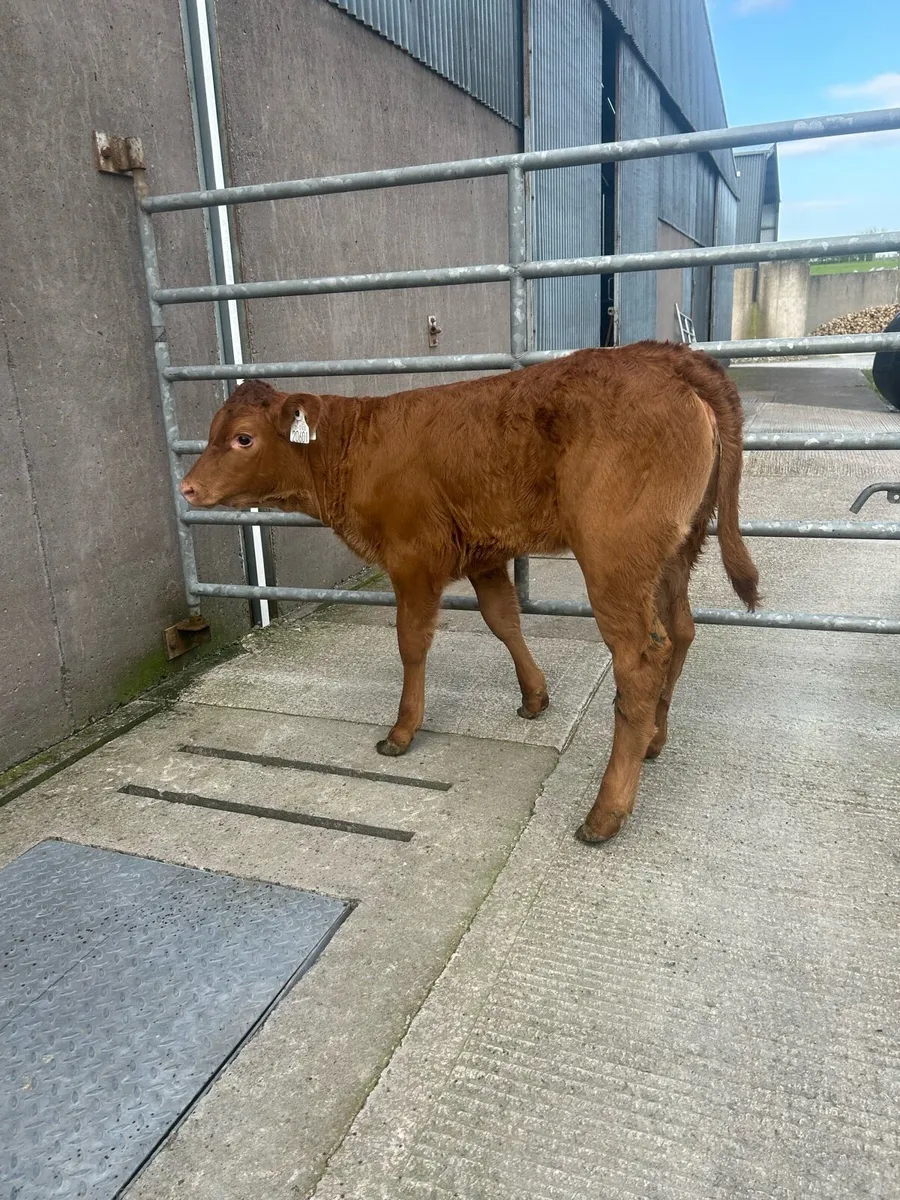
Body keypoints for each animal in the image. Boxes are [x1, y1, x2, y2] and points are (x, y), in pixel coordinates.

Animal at [180, 342, 759, 843]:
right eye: (212, 431)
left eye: (244, 438)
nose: (187, 488)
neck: (354, 449)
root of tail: (666, 356)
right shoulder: (484, 555)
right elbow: (503, 620)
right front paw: (534, 697)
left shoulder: (412, 559)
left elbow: (412, 643)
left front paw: (403, 731)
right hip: (675, 552)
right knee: (680, 632)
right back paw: (655, 741)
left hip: (614, 557)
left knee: (640, 659)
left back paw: (606, 813)